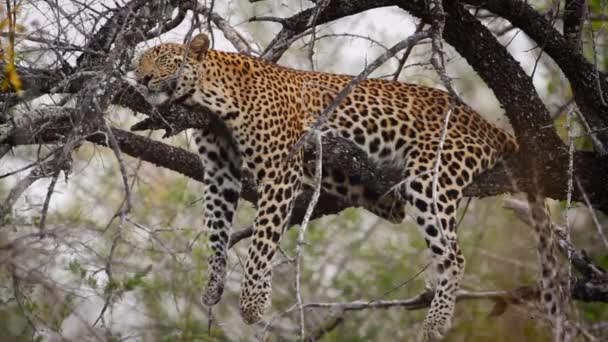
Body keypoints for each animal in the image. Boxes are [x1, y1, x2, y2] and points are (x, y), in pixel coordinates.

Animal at [132, 32, 516, 340]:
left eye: (164, 60)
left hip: (431, 177)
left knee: (453, 255)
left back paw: (436, 323)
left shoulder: (279, 169)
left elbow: (262, 239)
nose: (141, 78)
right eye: (139, 62)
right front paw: (214, 287)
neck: (211, 97)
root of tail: (489, 126)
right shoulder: (219, 173)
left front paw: (252, 303)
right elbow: (217, 229)